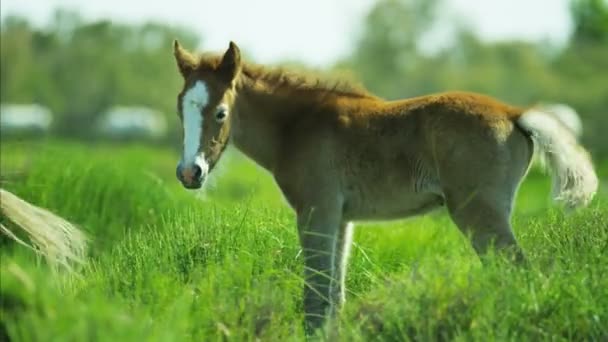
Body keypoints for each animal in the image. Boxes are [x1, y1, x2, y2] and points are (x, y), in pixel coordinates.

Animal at [171, 41, 600, 332]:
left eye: (220, 112)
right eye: (179, 109)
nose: (190, 173)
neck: (297, 126)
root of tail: (514, 113)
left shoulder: (315, 211)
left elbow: (316, 292)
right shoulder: (340, 219)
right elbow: (334, 292)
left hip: (479, 214)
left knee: (518, 271)